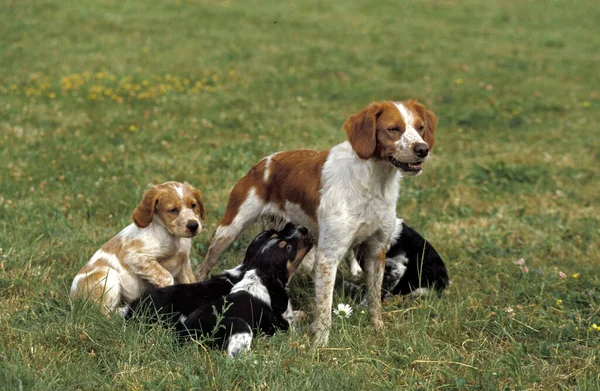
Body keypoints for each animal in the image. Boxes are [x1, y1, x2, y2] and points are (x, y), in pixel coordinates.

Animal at [69, 182, 206, 314]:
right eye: (173, 210)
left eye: (193, 205)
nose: (193, 225)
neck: (173, 237)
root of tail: (72, 300)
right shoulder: (135, 257)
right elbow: (167, 277)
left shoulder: (184, 264)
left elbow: (190, 284)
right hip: (107, 275)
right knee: (105, 313)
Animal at [196, 100, 436, 346]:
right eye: (393, 129)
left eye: (420, 128)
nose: (422, 149)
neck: (373, 182)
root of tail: (265, 162)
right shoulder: (328, 256)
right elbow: (324, 309)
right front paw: (319, 344)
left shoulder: (377, 250)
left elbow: (374, 299)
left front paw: (377, 329)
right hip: (228, 230)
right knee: (201, 269)